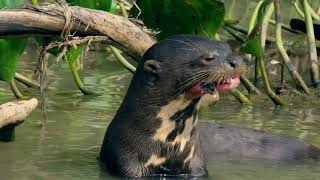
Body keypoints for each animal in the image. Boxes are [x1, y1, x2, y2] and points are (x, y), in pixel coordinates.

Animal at [99, 34, 320, 178]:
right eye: (209, 58)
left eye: (229, 50)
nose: (236, 61)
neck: (166, 145)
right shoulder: (128, 162)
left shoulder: (196, 164)